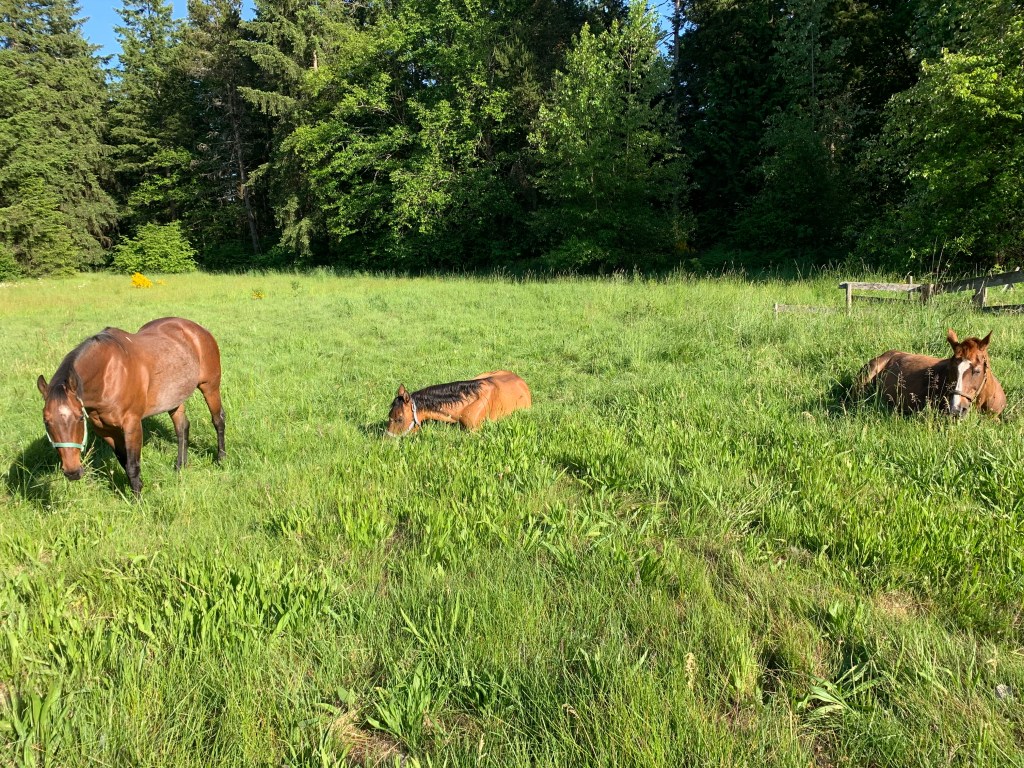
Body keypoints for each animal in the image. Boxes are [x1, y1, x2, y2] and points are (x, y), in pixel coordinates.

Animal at [37, 317, 226, 496]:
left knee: (218, 420)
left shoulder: (132, 425)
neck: (108, 375)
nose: (72, 472)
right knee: (182, 428)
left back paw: (221, 459)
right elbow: (124, 462)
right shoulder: (106, 430)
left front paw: (138, 501)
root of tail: (197, 329)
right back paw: (180, 466)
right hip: (174, 396)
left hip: (210, 387)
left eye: (79, 417)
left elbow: (133, 465)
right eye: (46, 421)